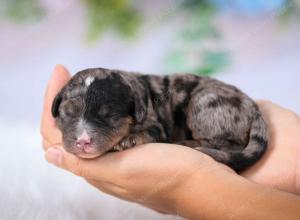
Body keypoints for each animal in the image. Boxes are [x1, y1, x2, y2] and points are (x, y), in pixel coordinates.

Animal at [51, 68, 268, 171]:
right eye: (67, 114)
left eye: (110, 116)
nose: (83, 141)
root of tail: (253, 107)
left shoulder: (155, 124)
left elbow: (147, 132)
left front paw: (128, 140)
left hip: (205, 103)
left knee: (228, 145)